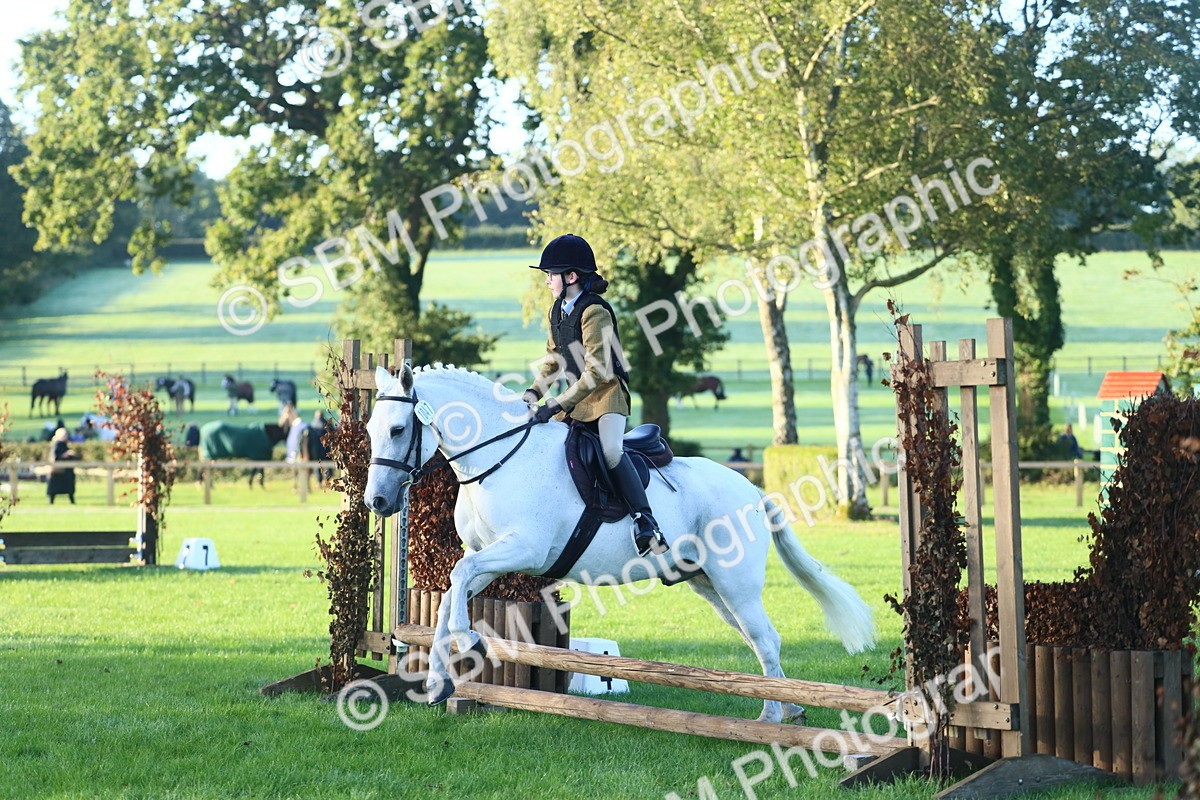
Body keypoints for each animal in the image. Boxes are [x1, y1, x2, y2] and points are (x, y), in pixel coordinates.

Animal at [362, 365, 875, 722]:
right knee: (756, 638)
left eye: (398, 430)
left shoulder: (525, 550)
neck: (499, 456)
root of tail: (753, 492)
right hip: (709, 585)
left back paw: (771, 716)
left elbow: (457, 582)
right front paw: (438, 682)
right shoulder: (485, 555)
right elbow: (452, 590)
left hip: (736, 583)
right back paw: (790, 708)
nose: (378, 501)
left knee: (766, 638)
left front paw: (469, 643)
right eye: (369, 430)